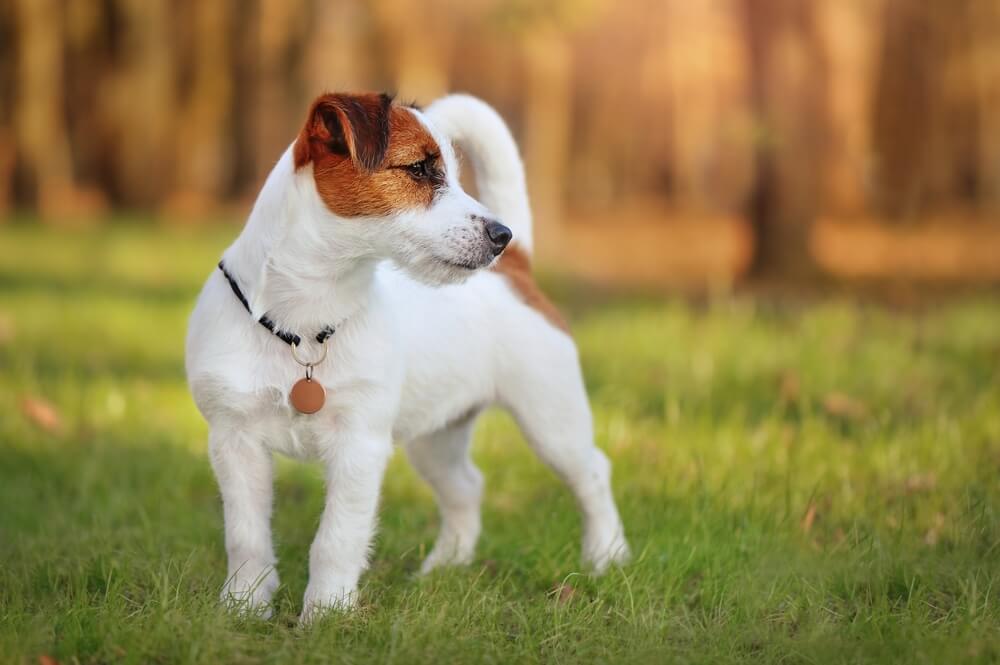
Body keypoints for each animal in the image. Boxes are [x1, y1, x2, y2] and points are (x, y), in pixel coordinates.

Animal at [184, 91, 628, 620]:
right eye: (419, 169)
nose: (503, 236)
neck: (305, 325)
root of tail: (517, 272)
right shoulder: (235, 442)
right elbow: (246, 537)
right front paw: (243, 608)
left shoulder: (359, 446)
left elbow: (336, 539)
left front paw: (325, 615)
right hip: (437, 436)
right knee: (466, 487)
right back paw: (445, 567)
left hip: (551, 419)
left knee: (593, 473)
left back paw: (606, 556)